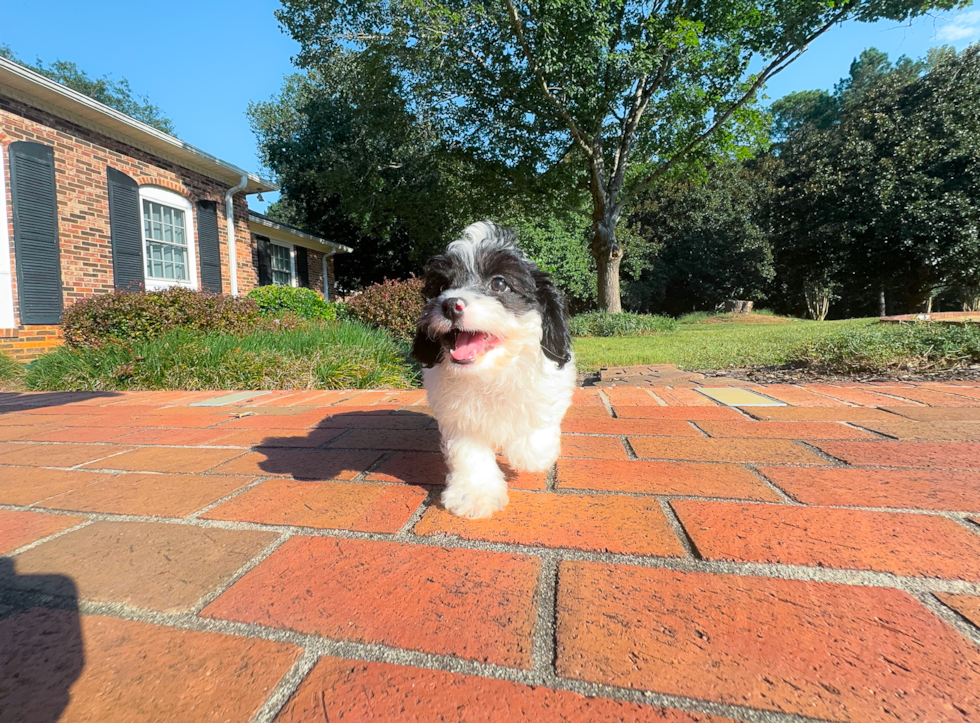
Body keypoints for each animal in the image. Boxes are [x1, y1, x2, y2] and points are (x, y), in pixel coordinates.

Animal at [412, 222, 580, 520]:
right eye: (442, 286)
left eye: (499, 283)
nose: (449, 304)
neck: (490, 373)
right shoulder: (458, 418)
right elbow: (469, 454)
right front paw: (474, 495)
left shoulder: (552, 385)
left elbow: (538, 423)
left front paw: (530, 454)